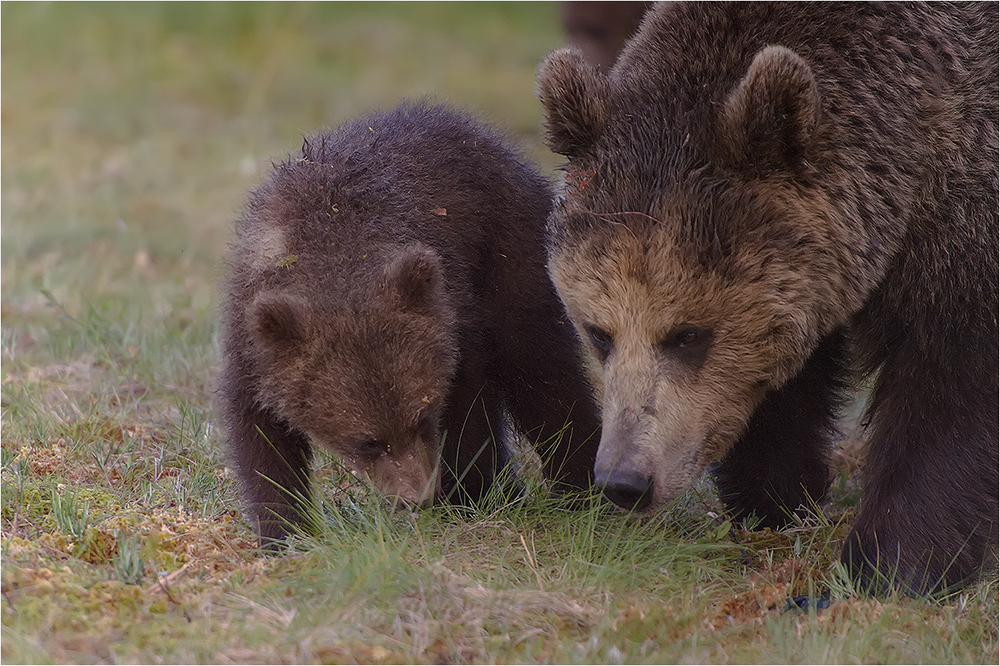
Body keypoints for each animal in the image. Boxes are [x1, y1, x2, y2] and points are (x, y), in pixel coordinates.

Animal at [217, 100, 600, 544]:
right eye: (367, 442)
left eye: (421, 418)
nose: (415, 497)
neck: (333, 248)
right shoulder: (254, 340)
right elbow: (260, 434)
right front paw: (284, 531)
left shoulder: (454, 315)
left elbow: (469, 409)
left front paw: (468, 492)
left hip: (512, 251)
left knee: (540, 368)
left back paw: (579, 487)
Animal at [540, 0, 1000, 592]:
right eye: (599, 333)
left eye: (688, 335)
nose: (623, 479)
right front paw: (774, 499)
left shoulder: (966, 216)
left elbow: (950, 387)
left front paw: (892, 561)